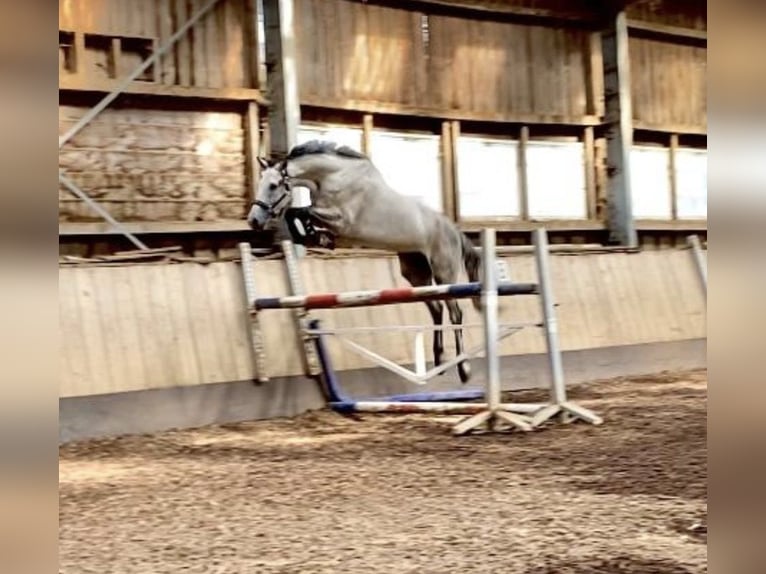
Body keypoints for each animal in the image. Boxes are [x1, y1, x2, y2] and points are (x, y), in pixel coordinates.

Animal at [249, 140, 484, 384]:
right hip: (416, 275)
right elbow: (297, 214)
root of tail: (454, 230)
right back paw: (439, 361)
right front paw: (316, 237)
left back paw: (463, 368)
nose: (253, 220)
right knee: (437, 309)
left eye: (274, 186)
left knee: (455, 313)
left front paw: (317, 235)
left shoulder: (342, 220)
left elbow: (301, 212)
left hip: (443, 273)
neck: (333, 177)